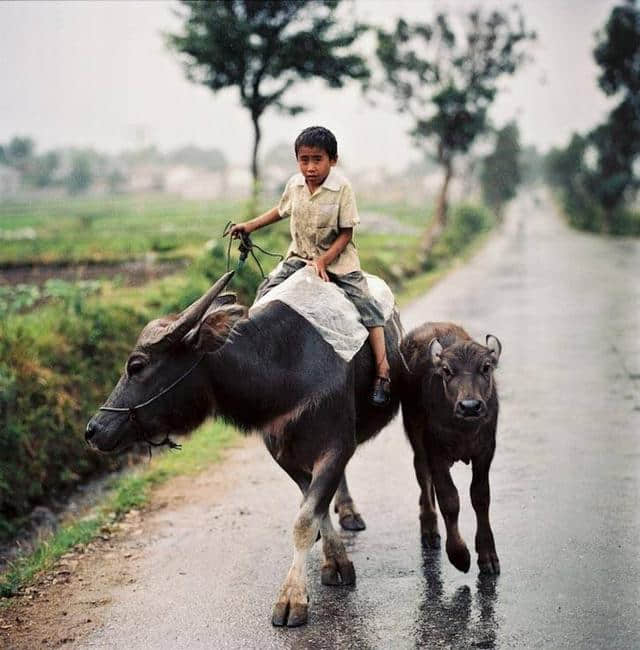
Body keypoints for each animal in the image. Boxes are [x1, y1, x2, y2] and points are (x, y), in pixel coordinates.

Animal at [87, 268, 402, 624]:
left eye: (136, 366)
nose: (93, 430)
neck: (284, 365)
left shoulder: (336, 445)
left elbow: (306, 518)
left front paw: (293, 597)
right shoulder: (284, 454)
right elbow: (313, 509)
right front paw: (332, 559)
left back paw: (349, 512)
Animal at [400, 322, 500, 572]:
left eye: (485, 367)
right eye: (446, 370)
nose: (470, 406)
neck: (464, 429)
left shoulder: (485, 451)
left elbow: (480, 496)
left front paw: (488, 555)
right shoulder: (435, 454)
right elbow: (449, 500)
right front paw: (459, 555)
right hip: (416, 438)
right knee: (422, 475)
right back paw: (429, 529)